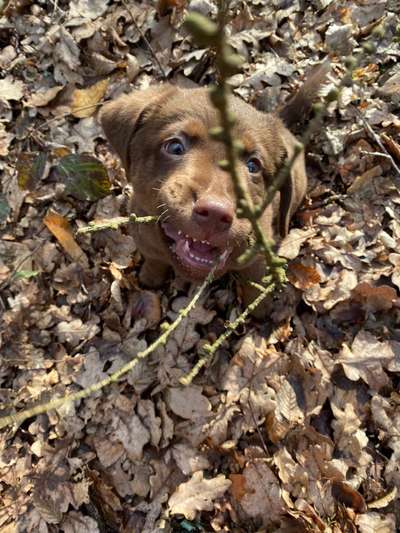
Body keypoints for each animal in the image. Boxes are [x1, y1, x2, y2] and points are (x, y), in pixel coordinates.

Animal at [99, 71, 324, 312]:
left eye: (253, 165)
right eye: (175, 147)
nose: (215, 213)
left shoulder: (255, 260)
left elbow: (254, 287)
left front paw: (259, 311)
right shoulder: (145, 240)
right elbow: (154, 261)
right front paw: (150, 278)